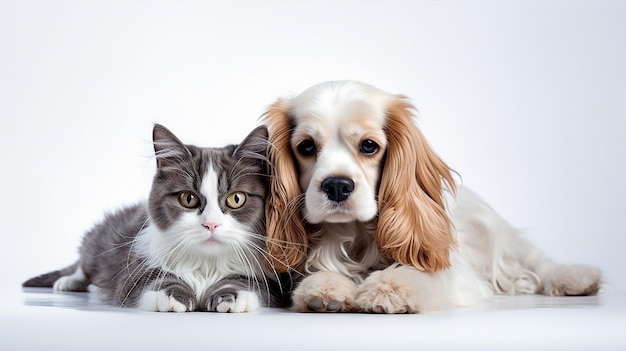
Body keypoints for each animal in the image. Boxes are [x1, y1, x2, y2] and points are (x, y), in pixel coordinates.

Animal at [22, 124, 290, 314]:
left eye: (236, 199)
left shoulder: (265, 276)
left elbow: (243, 281)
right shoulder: (134, 268)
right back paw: (68, 282)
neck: (206, 265)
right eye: (188, 199)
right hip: (99, 243)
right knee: (83, 264)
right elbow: (156, 279)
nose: (211, 224)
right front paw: (172, 296)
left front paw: (231, 296)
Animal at [260, 80, 600, 314]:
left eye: (369, 146)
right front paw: (324, 287)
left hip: (494, 230)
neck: (354, 235)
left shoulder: (457, 275)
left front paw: (391, 287)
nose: (337, 186)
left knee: (535, 260)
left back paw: (574, 278)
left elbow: (424, 273)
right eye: (306, 146)